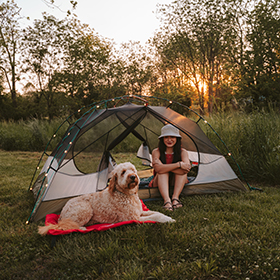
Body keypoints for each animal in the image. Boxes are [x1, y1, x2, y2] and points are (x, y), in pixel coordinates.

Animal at [38, 162, 175, 234]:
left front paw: (167, 215)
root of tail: (61, 215)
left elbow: (156, 212)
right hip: (84, 209)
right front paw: (168, 219)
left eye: (133, 170)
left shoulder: (140, 212)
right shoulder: (133, 218)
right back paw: (82, 228)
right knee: (69, 226)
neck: (125, 194)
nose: (133, 176)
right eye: (123, 172)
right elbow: (155, 217)